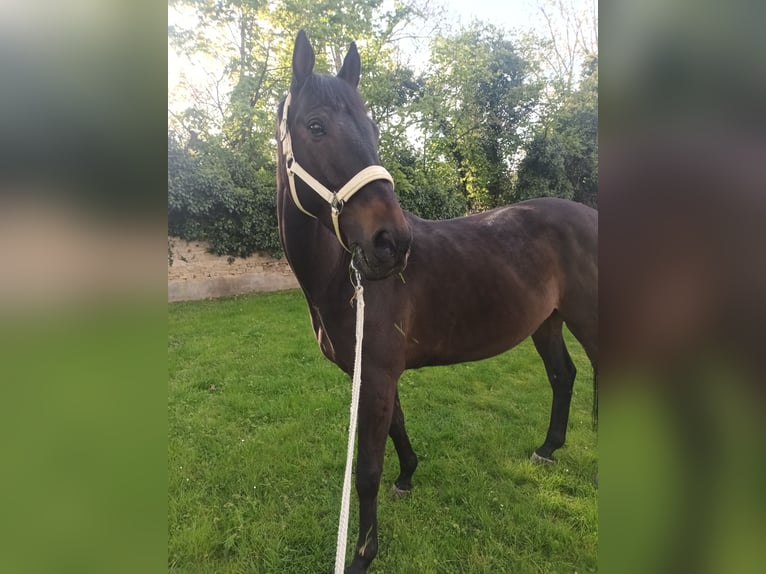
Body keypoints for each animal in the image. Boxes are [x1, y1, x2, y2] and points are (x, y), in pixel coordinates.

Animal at [276, 31, 600, 574]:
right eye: (314, 126)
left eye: (372, 128)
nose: (391, 242)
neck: (345, 280)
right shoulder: (377, 373)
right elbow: (398, 428)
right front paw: (408, 476)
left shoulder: (376, 374)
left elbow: (367, 468)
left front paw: (362, 555)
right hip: (547, 322)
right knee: (563, 376)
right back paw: (547, 449)